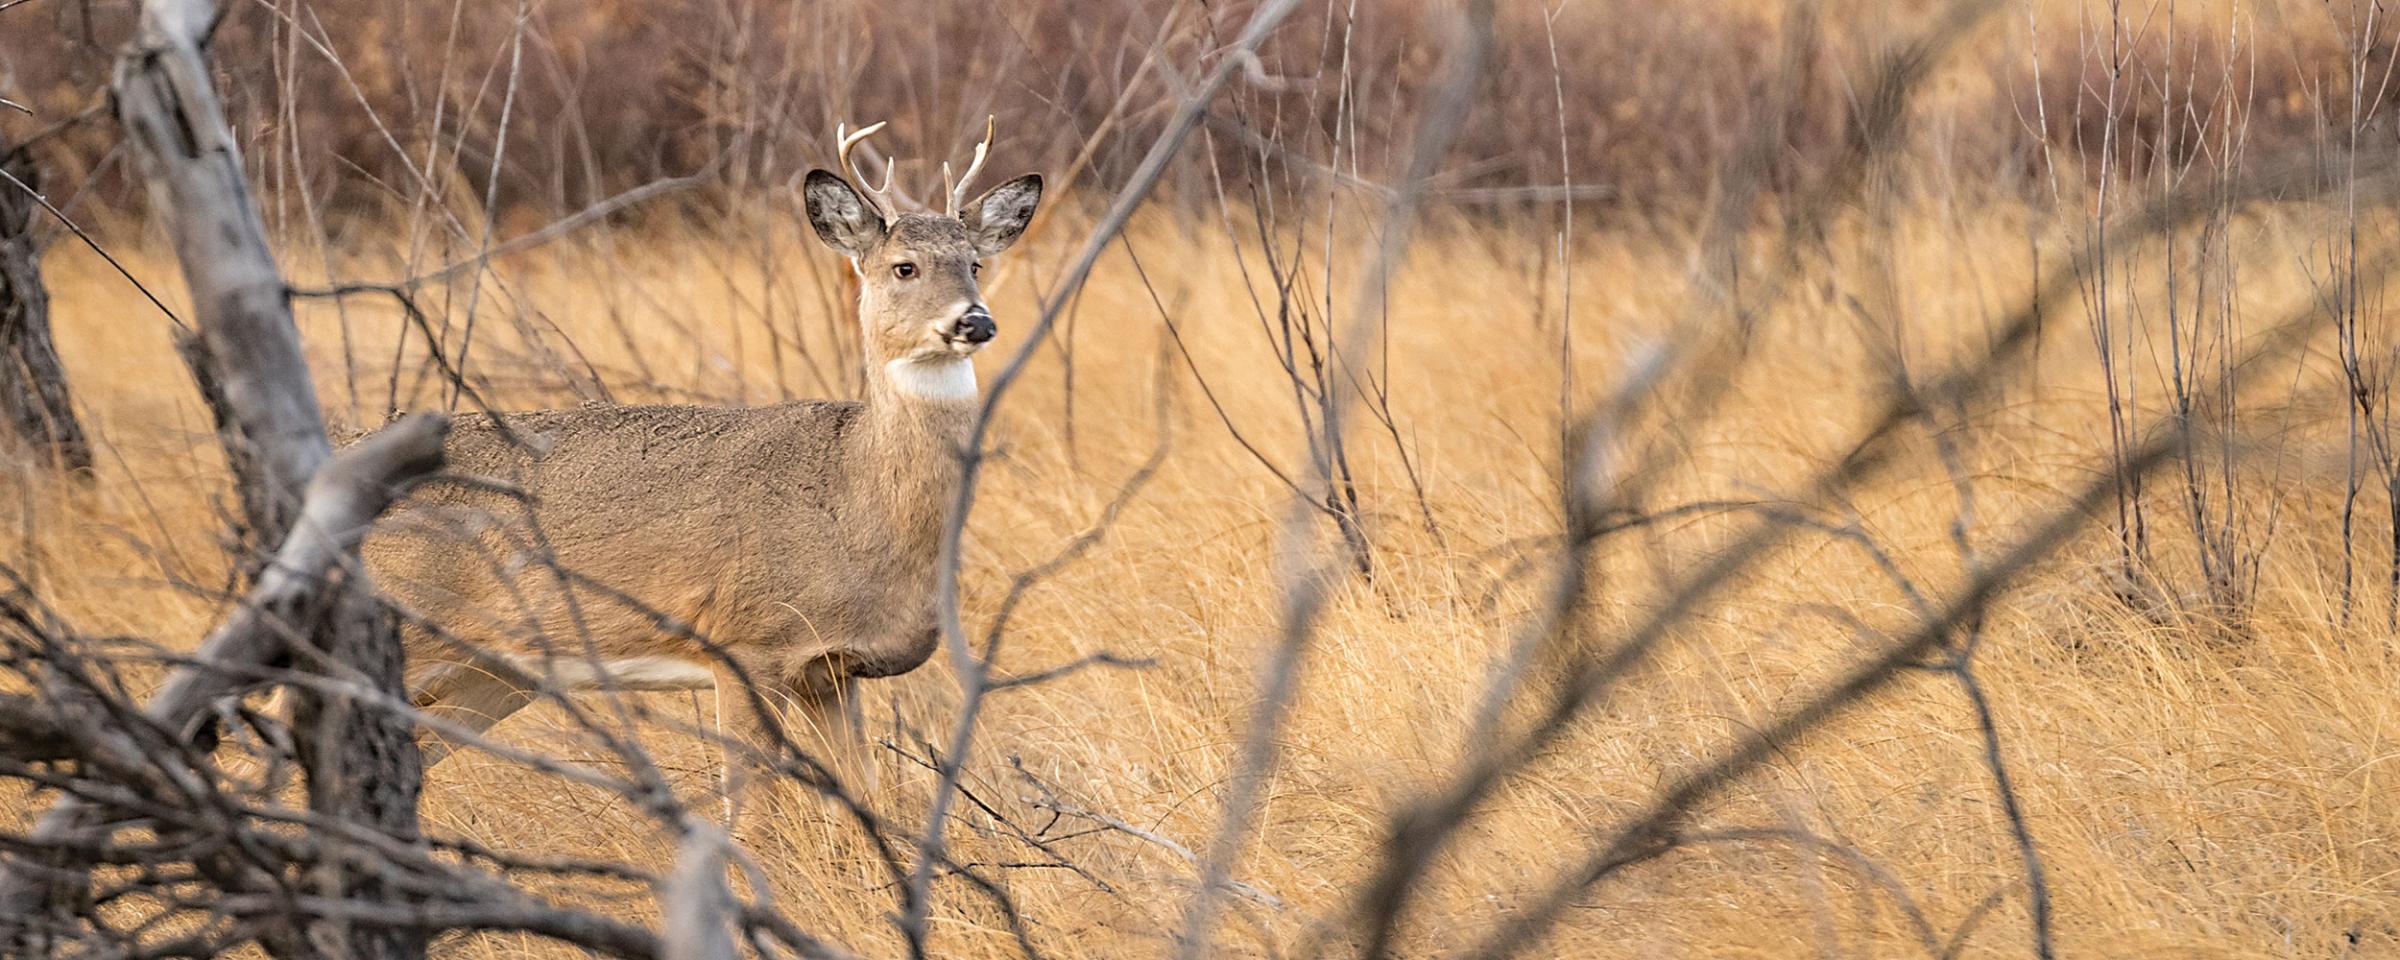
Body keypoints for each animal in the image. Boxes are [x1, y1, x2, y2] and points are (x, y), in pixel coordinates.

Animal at [369, 116, 1046, 796]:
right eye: (904, 267)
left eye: (975, 264)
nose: (975, 321)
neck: (854, 495)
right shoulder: (745, 642)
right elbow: (751, 803)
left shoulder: (831, 669)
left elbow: (868, 793)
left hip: (494, 672)